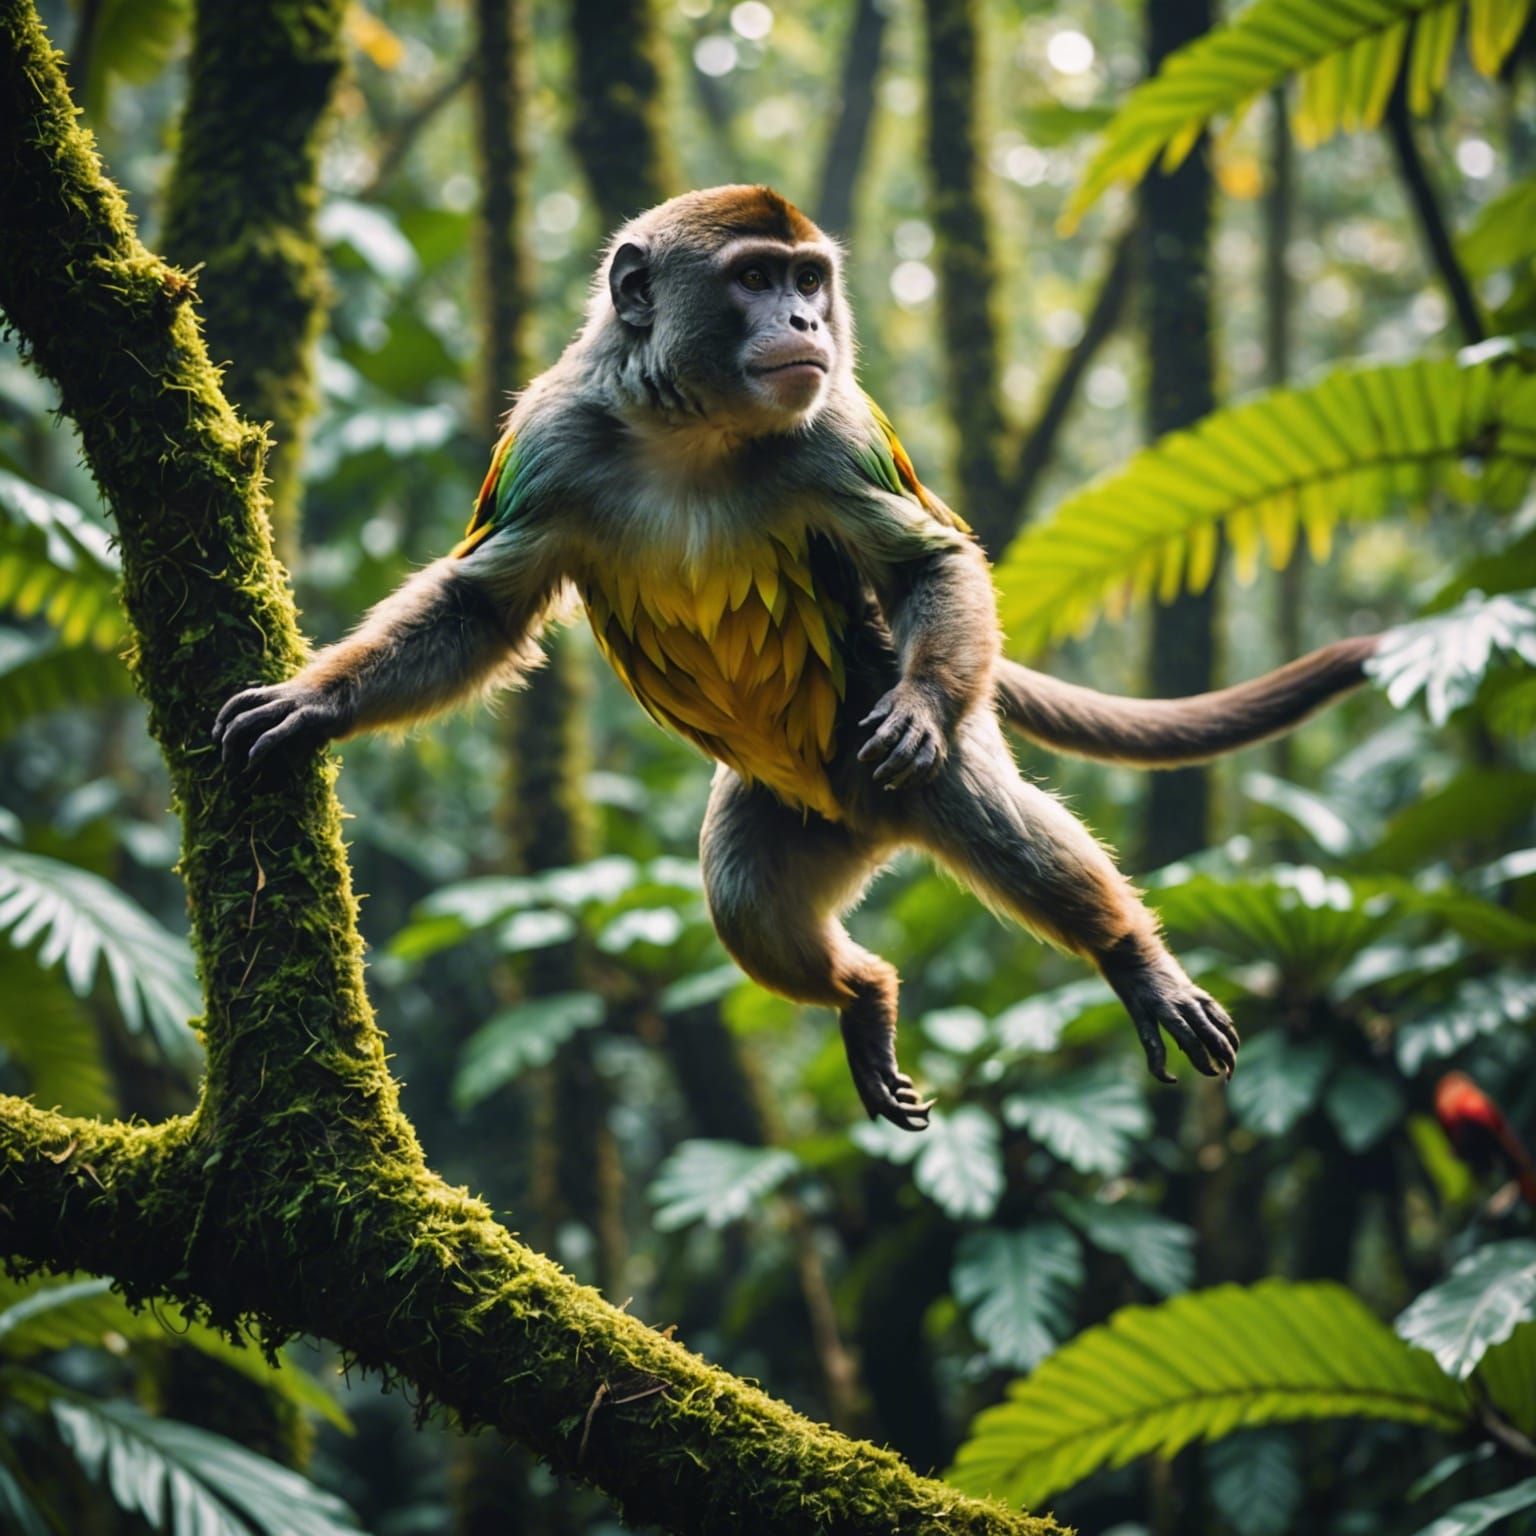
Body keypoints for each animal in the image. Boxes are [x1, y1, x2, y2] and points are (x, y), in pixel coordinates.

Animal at [215, 185, 1380, 1132]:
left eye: (807, 277)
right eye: (755, 279)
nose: (807, 322)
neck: (690, 431)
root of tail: (872, 823)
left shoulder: (839, 431)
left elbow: (926, 561)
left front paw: (920, 698)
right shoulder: (549, 439)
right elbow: (481, 608)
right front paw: (319, 706)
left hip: (885, 758)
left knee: (984, 810)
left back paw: (1129, 958)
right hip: (800, 809)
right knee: (741, 893)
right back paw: (864, 995)